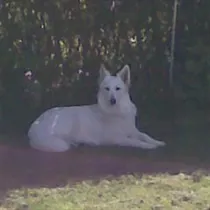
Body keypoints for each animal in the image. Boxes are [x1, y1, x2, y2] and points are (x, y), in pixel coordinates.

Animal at [27, 65, 166, 152]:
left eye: (117, 88)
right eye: (107, 89)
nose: (112, 100)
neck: (118, 111)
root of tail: (32, 129)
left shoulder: (133, 130)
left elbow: (144, 135)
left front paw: (157, 142)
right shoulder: (117, 138)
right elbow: (135, 141)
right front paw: (148, 146)